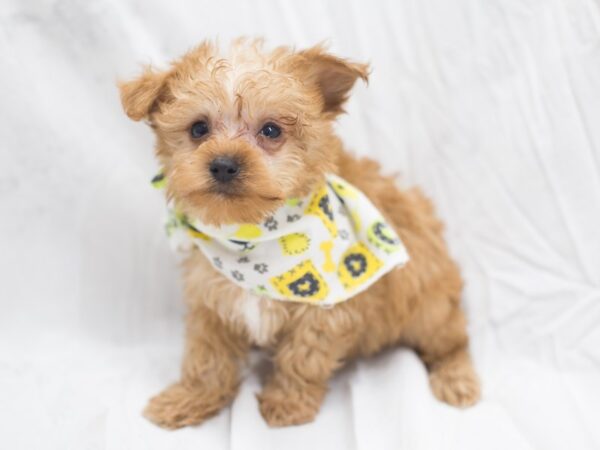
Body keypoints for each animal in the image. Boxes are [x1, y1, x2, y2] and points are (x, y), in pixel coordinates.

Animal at [119, 39, 480, 428]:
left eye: (271, 130)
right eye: (198, 129)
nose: (224, 164)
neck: (255, 238)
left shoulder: (326, 310)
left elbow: (303, 358)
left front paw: (288, 403)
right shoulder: (212, 302)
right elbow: (207, 358)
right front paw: (188, 399)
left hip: (428, 304)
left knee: (453, 338)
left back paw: (456, 378)